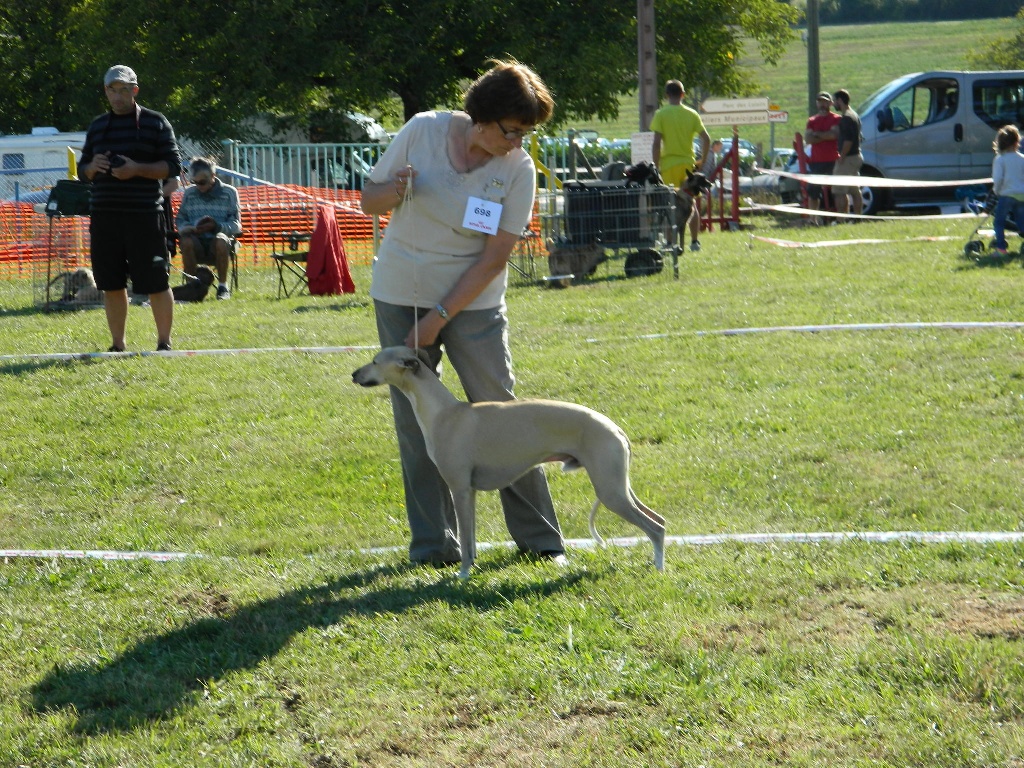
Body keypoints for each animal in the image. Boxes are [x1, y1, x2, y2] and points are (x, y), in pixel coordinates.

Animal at [352, 348, 667, 577]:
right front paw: (471, 567)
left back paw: (658, 568)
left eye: (375, 361)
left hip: (610, 491)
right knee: (659, 519)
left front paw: (462, 574)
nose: (354, 374)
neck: (443, 413)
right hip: (617, 486)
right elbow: (471, 538)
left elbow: (464, 539)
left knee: (655, 528)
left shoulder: (459, 489)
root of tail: (615, 428)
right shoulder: (470, 492)